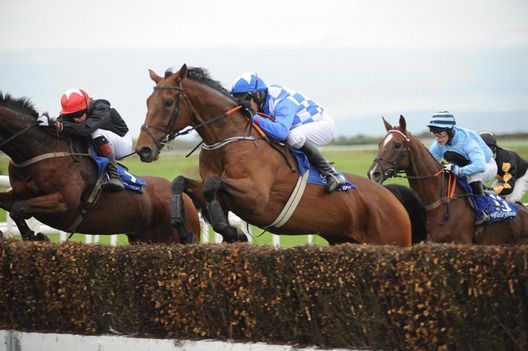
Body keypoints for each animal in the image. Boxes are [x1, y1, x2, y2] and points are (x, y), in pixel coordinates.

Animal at [0, 93, 200, 245]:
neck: (39, 150)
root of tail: (185, 197)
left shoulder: (64, 203)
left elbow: (18, 208)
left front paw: (35, 236)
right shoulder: (19, 193)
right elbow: (11, 206)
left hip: (173, 238)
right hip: (143, 239)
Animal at [134, 65, 426, 248]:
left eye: (168, 103)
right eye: (147, 102)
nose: (144, 149)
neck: (230, 140)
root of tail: (391, 196)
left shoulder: (256, 197)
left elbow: (212, 185)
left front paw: (232, 231)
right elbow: (181, 183)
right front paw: (183, 229)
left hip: (393, 240)